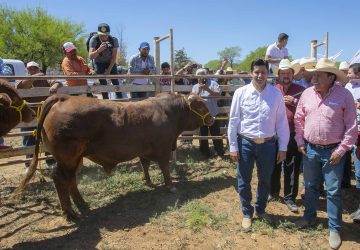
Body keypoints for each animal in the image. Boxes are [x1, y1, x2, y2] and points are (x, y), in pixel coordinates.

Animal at [15, 93, 214, 220]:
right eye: (201, 104)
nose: (212, 119)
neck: (168, 111)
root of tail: (64, 97)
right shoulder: (163, 148)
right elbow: (165, 167)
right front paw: (170, 186)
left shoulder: (144, 150)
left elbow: (145, 164)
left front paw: (148, 181)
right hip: (67, 158)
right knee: (60, 179)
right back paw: (70, 213)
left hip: (75, 159)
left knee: (71, 180)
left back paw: (82, 204)